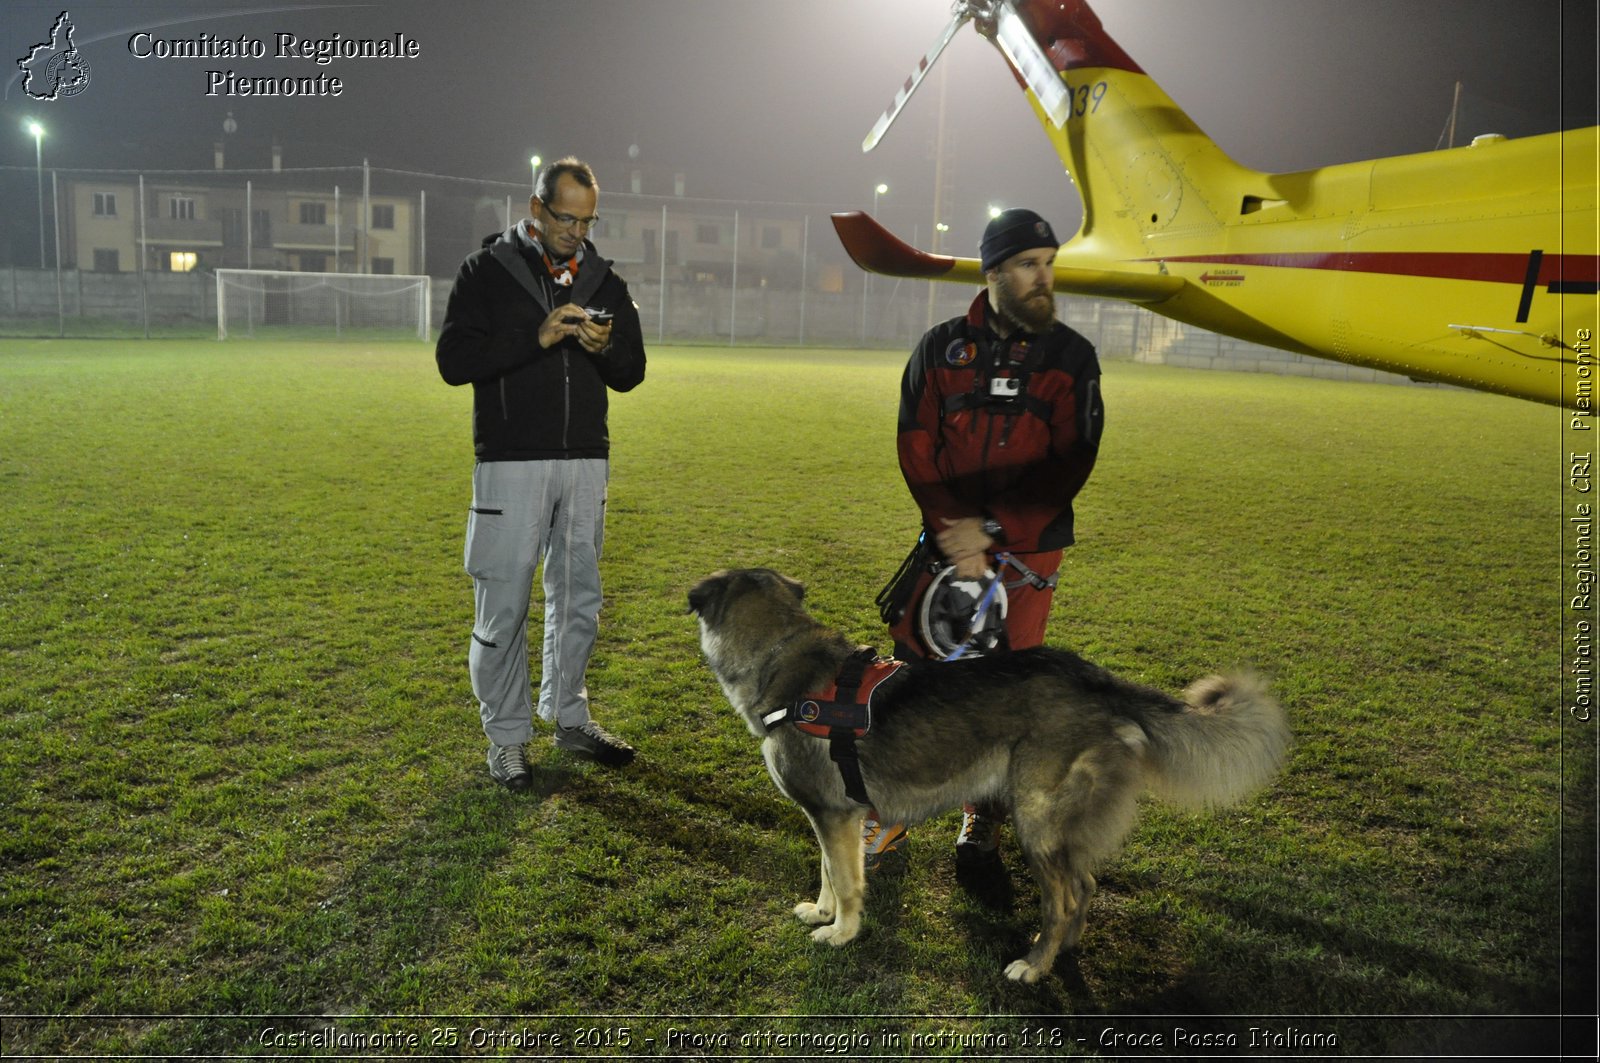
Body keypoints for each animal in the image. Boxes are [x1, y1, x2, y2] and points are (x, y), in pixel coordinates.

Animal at [688, 569, 1286, 986]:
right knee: (1085, 885)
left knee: (1063, 898)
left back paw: (1035, 965)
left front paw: (840, 933)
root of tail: (1097, 680)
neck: (778, 658)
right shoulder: (832, 817)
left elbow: (846, 880)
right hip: (1060, 829)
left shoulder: (833, 816)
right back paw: (1064, 949)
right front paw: (822, 912)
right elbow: (829, 874)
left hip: (1036, 823)